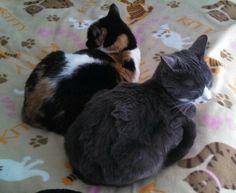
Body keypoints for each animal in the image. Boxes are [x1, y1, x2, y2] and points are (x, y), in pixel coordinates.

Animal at [65, 34, 214, 185]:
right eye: (195, 90)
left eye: (209, 82)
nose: (208, 98)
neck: (163, 91)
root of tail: (81, 172)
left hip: (100, 93)